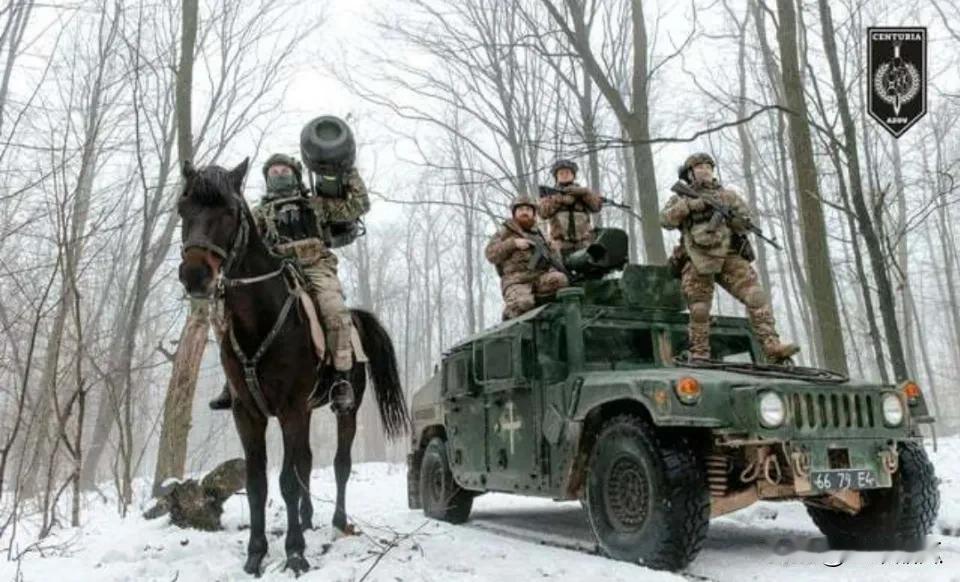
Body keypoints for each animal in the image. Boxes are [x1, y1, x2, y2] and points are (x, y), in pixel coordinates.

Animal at [176, 158, 409, 576]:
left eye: (229, 212)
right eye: (182, 209)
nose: (195, 274)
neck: (259, 319)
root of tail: (355, 316)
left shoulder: (290, 409)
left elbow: (286, 479)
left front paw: (295, 553)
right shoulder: (248, 413)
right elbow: (258, 483)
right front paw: (255, 554)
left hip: (343, 408)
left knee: (339, 463)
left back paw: (337, 522)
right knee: (307, 461)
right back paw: (306, 517)